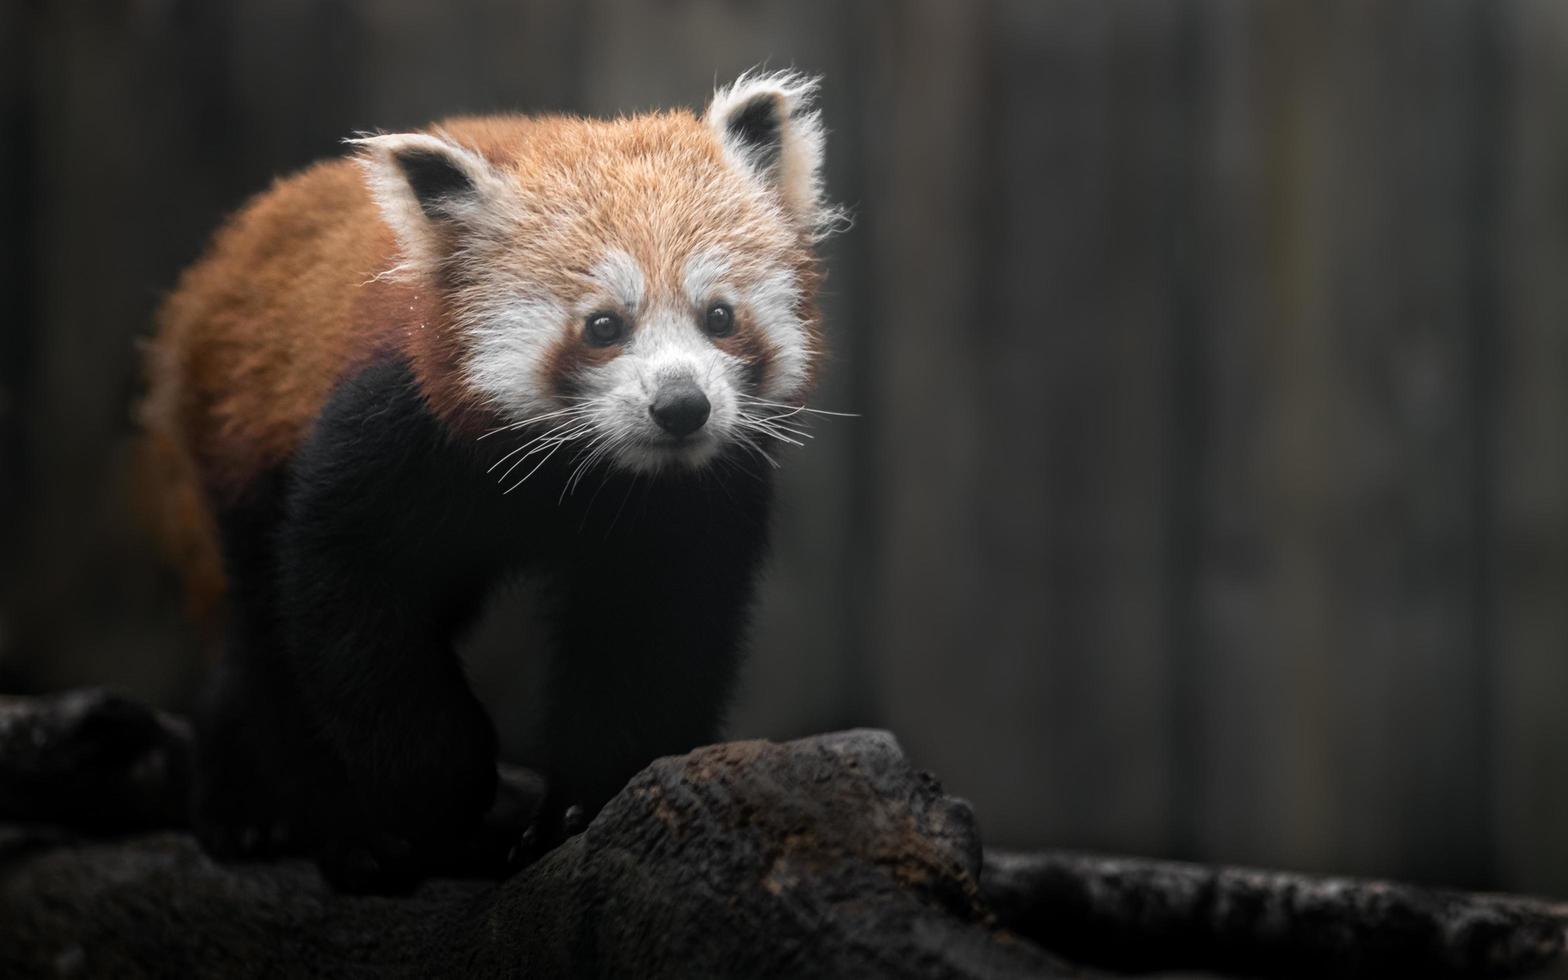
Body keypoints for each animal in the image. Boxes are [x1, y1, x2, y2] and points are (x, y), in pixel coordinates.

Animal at [141, 72, 840, 890]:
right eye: (603, 327)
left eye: (720, 315)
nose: (681, 406)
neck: (575, 470)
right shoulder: (392, 431)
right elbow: (348, 606)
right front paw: (439, 786)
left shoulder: (686, 504)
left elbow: (653, 636)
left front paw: (576, 806)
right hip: (243, 442)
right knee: (267, 632)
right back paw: (280, 815)